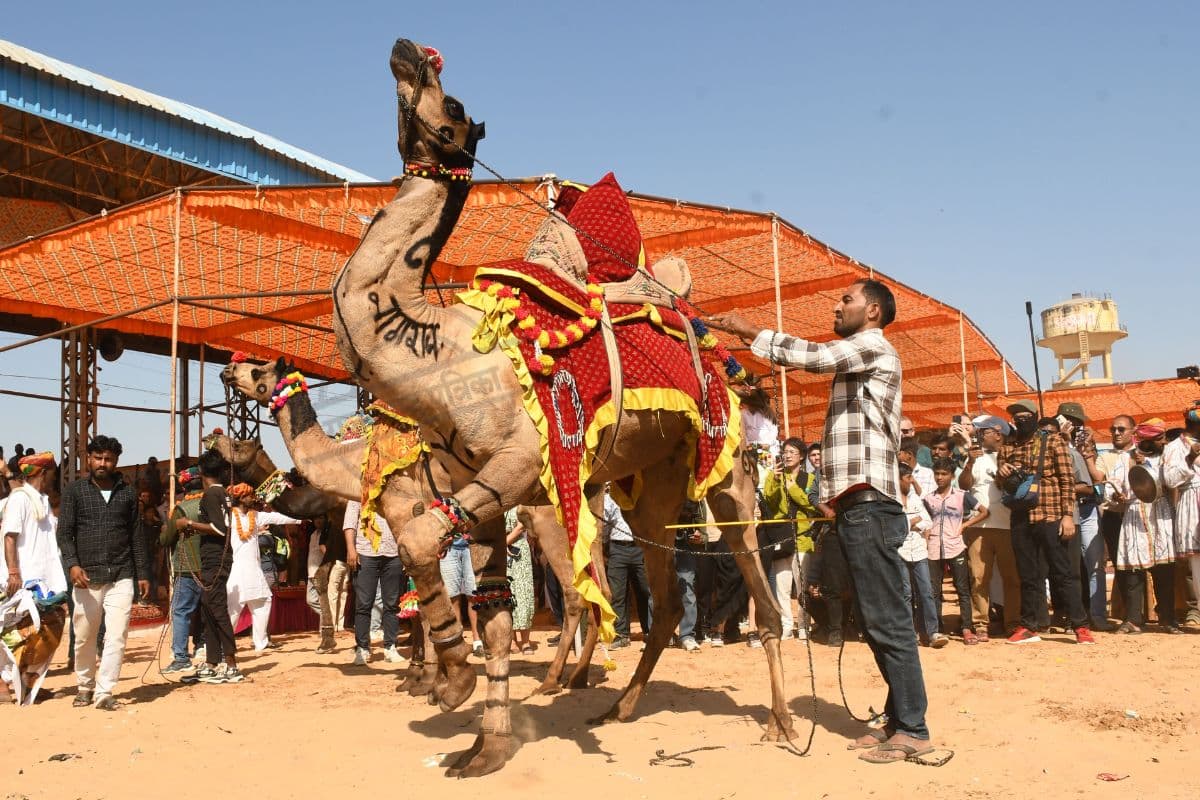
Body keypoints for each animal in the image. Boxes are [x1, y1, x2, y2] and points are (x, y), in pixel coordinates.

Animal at [232, 37, 787, 777]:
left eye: (453, 102)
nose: (406, 51)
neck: (434, 356)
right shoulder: (477, 492)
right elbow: (490, 612)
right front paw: (484, 744)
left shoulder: (512, 465)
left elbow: (421, 545)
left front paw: (449, 681)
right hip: (649, 487)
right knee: (662, 602)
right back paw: (616, 705)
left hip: (720, 469)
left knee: (746, 580)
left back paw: (778, 723)